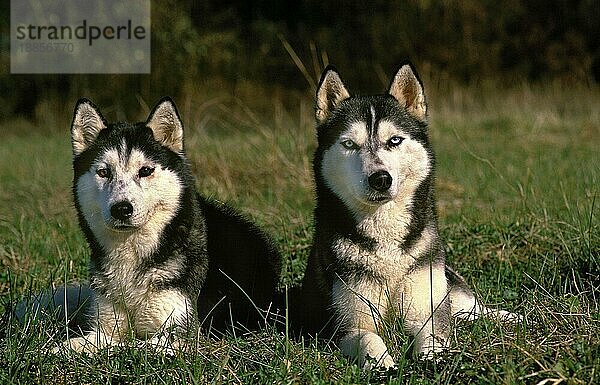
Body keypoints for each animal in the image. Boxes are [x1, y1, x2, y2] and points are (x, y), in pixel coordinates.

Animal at [55, 97, 280, 352]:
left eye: (145, 171)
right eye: (104, 172)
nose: (121, 209)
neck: (133, 258)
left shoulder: (179, 336)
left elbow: (126, 346)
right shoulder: (104, 327)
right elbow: (72, 345)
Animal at [300, 64, 520, 368]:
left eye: (394, 140)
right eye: (349, 144)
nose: (380, 179)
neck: (387, 244)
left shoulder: (429, 310)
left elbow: (433, 338)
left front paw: (432, 361)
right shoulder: (349, 324)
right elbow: (369, 339)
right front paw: (385, 366)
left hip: (449, 289)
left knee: (473, 308)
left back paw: (511, 317)